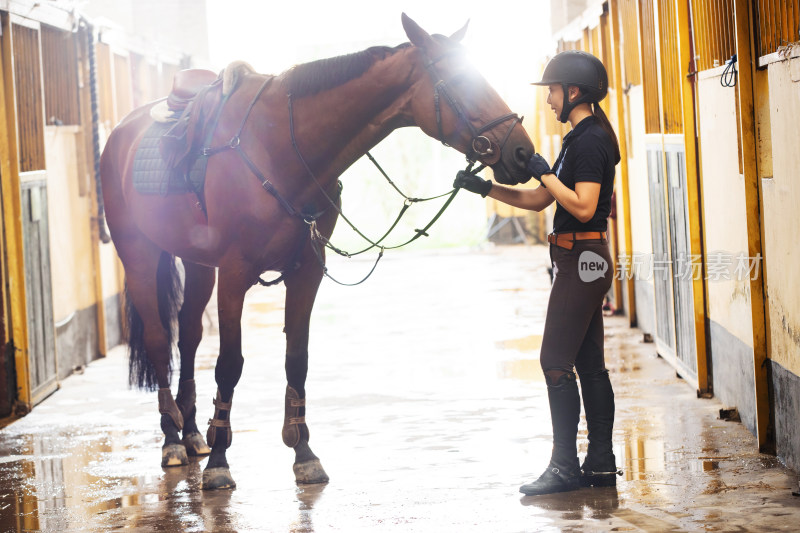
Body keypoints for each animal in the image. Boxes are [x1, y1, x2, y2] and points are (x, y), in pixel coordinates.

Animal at [101, 12, 536, 488]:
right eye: (457, 80)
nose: (522, 151)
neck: (282, 150)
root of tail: (120, 132)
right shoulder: (234, 274)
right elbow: (229, 364)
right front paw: (219, 462)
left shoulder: (307, 270)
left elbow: (297, 360)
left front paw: (303, 453)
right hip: (140, 256)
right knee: (161, 341)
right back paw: (172, 441)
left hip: (199, 265)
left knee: (189, 336)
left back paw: (193, 432)